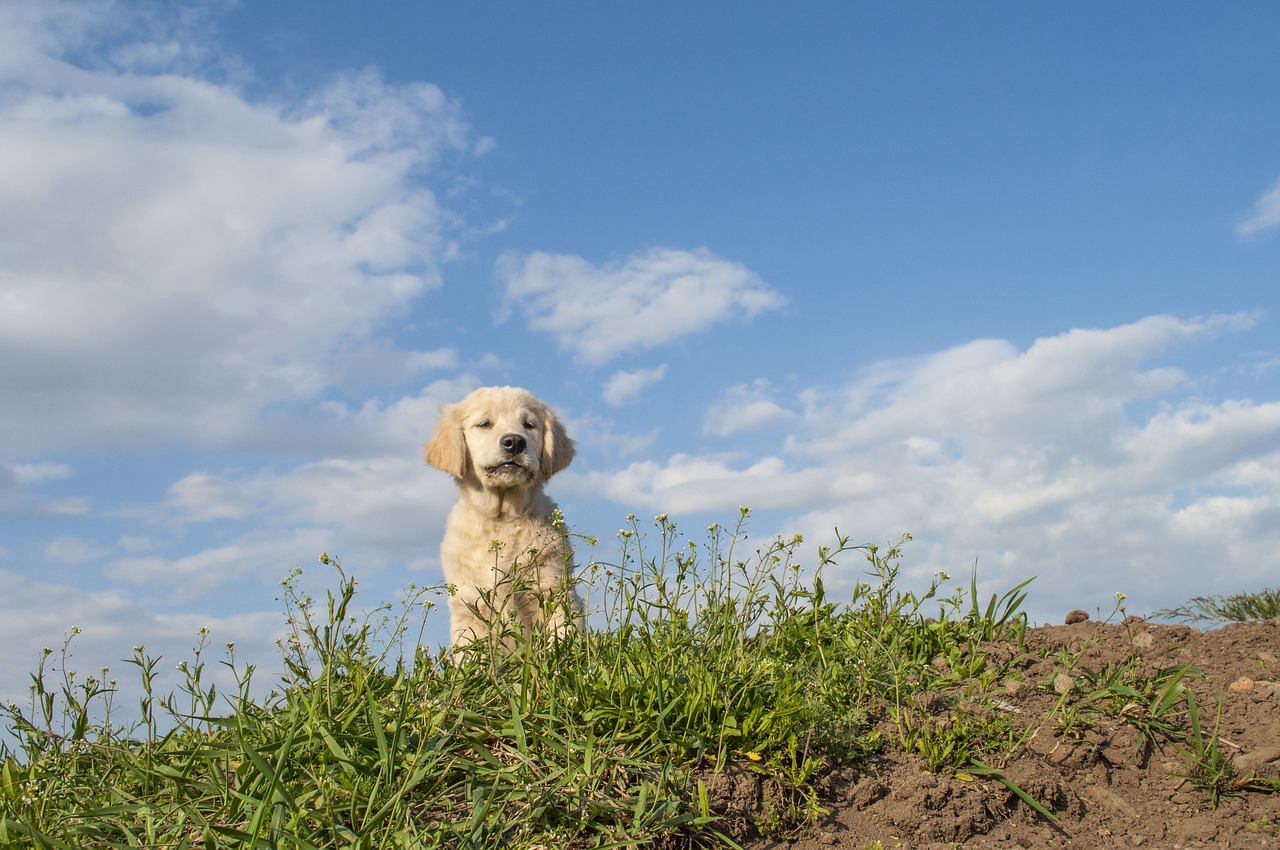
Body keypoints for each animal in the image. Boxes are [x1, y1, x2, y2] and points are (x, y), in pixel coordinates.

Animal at [422, 386, 583, 650]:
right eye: (485, 424)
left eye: (529, 425)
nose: (514, 442)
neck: (502, 518)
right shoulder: (469, 604)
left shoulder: (553, 590)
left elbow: (561, 640)